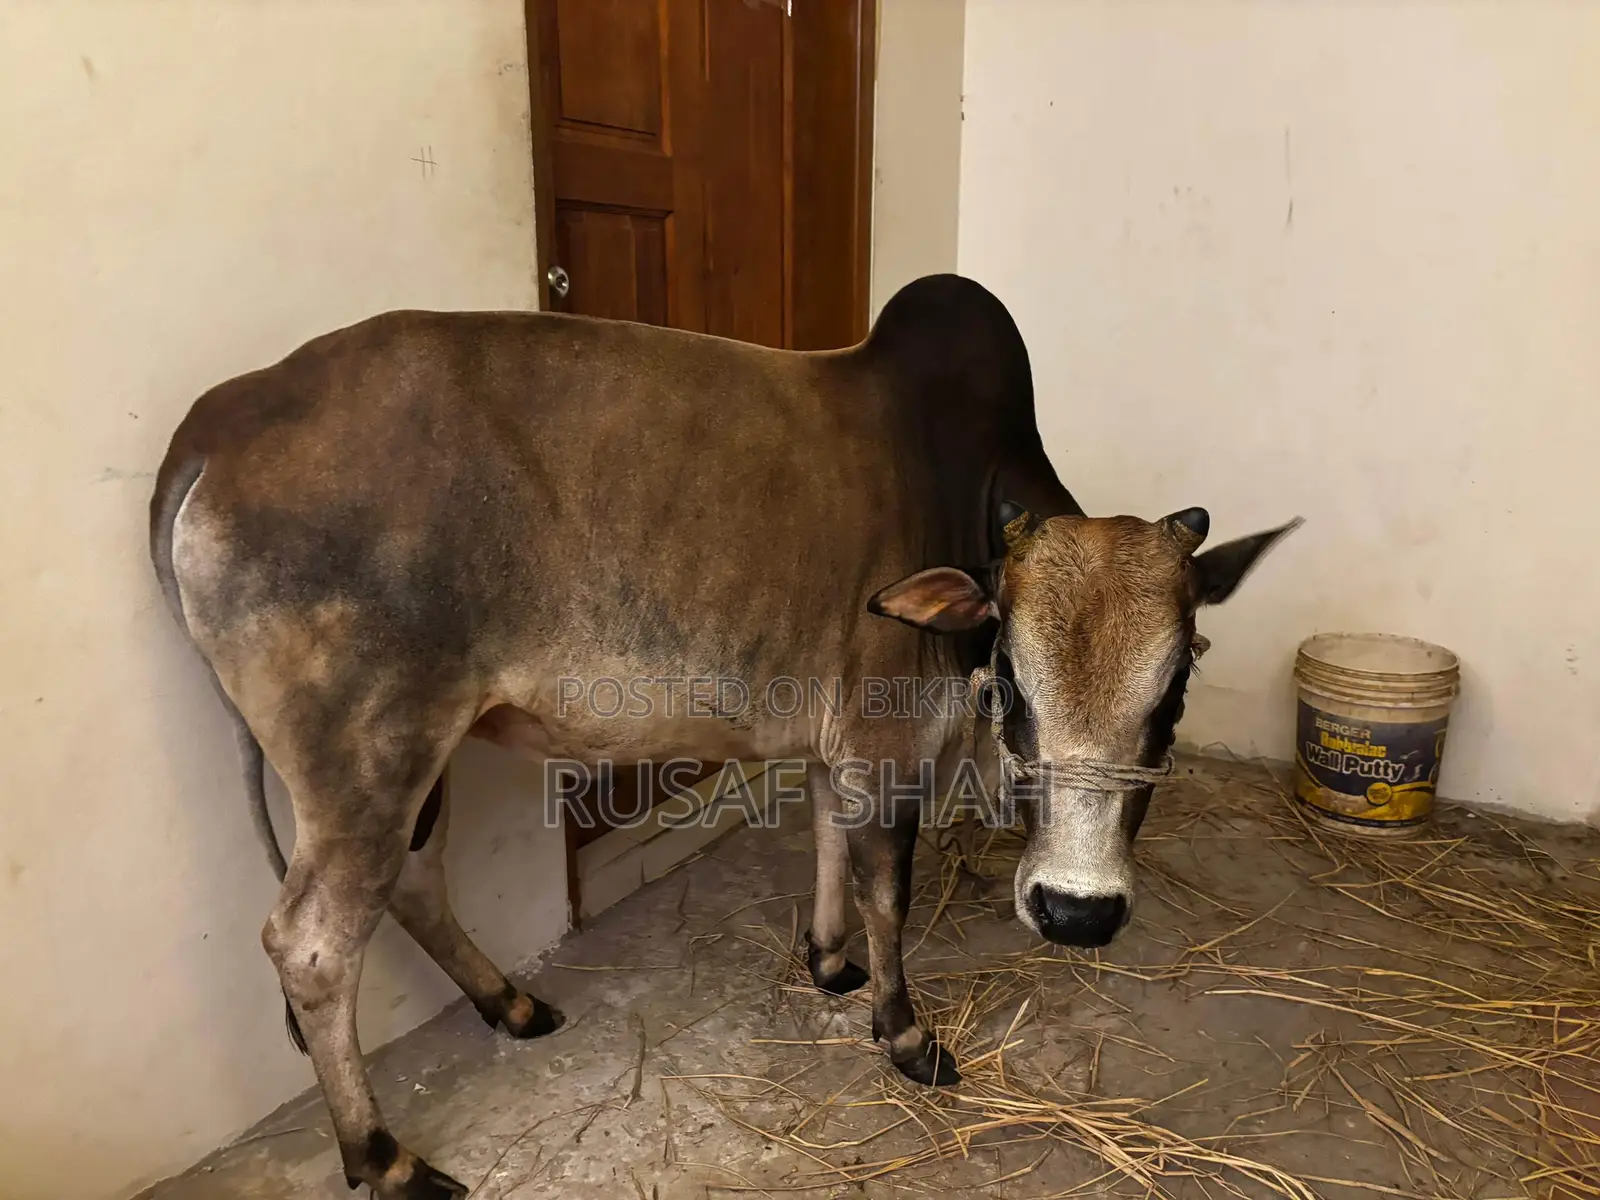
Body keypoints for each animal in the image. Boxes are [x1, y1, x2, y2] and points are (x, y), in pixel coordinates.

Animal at [150, 274, 1297, 1197]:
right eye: (1012, 680)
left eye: (1173, 693)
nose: (1077, 912)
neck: (955, 483)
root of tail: (221, 419)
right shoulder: (888, 742)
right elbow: (888, 889)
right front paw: (903, 1032)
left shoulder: (842, 744)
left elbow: (831, 845)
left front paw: (827, 962)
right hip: (366, 755)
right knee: (310, 942)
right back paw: (382, 1154)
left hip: (418, 753)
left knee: (414, 886)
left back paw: (509, 1004)